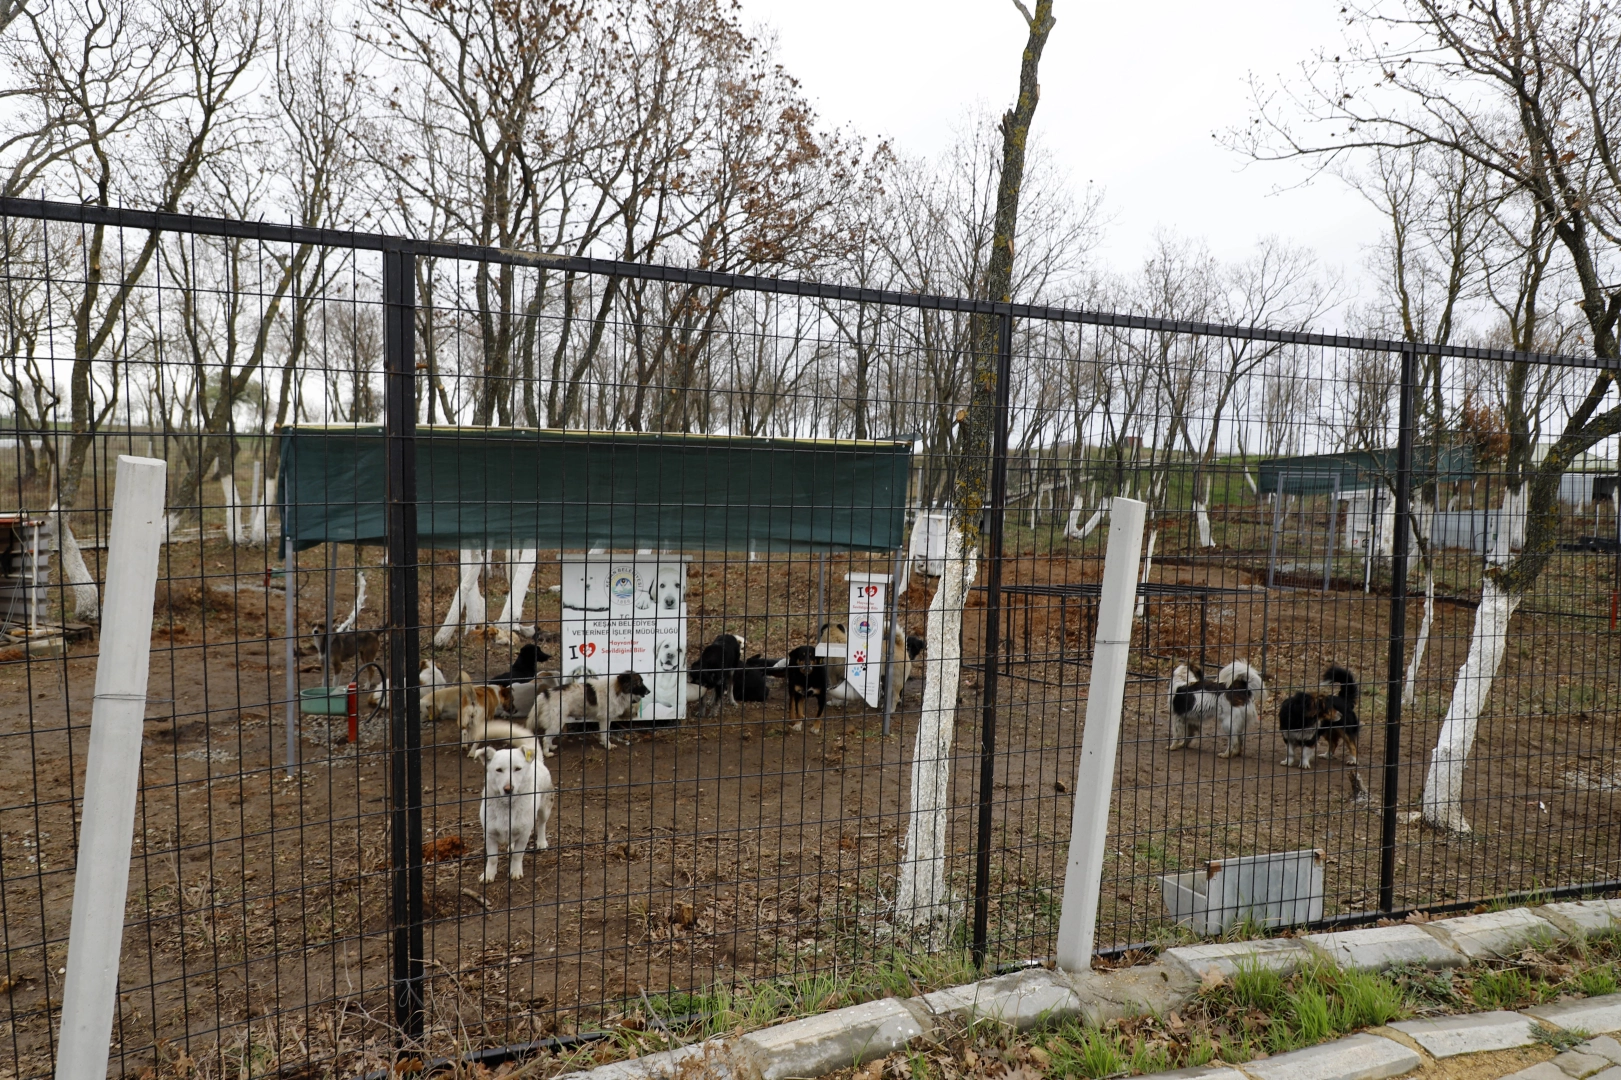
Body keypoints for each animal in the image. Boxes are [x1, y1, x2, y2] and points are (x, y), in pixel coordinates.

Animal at [474, 743, 554, 882]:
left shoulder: (524, 835)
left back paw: (541, 842)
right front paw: (489, 874)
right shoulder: (489, 835)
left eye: (517, 769)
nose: (508, 789)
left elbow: (517, 855)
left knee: (542, 824)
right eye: (499, 770)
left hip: (544, 808)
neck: (508, 805)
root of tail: (537, 761)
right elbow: (493, 858)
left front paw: (515, 871)